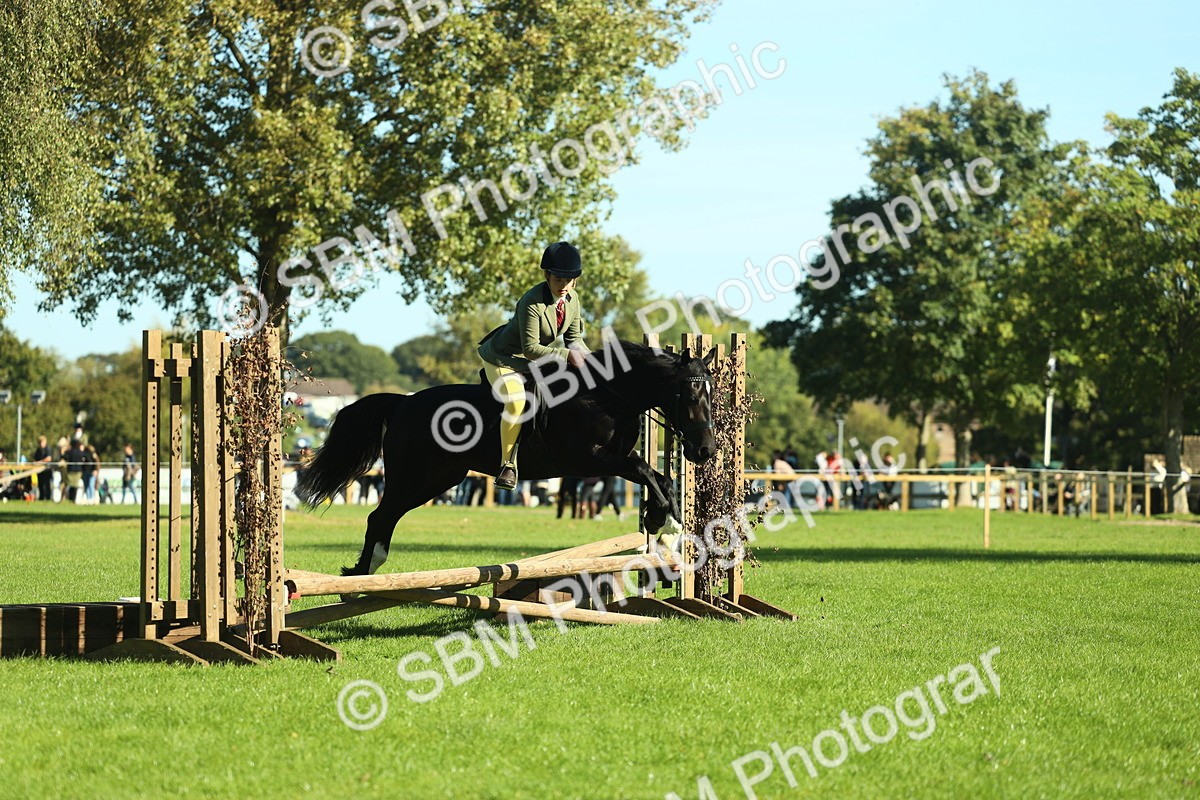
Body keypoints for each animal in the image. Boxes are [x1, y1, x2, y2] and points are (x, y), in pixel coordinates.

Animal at [294, 340, 718, 577]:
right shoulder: (590, 460)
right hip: (417, 477)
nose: (705, 451)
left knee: (385, 516)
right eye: (689, 397)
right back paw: (364, 571)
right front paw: (663, 521)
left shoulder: (613, 458)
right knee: (379, 517)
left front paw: (662, 522)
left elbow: (658, 478)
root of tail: (402, 403)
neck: (606, 396)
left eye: (711, 397)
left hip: (440, 478)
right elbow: (646, 471)